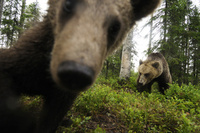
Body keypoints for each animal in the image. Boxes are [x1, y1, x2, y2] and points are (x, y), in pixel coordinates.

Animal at [0, 0, 160, 133]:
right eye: (68, 4)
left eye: (115, 27)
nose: (75, 72)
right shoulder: (25, 62)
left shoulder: (62, 96)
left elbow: (51, 119)